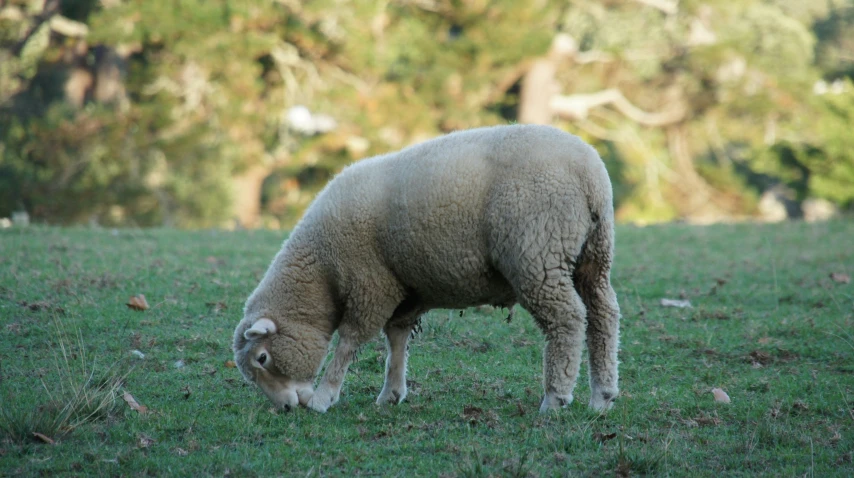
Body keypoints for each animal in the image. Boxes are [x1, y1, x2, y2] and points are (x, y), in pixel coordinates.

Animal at [234, 124, 620, 414]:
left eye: (263, 358)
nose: (286, 408)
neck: (322, 271)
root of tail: (590, 173)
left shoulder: (370, 284)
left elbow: (349, 342)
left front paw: (324, 396)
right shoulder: (405, 289)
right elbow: (397, 339)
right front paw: (391, 393)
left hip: (537, 253)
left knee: (567, 319)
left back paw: (555, 398)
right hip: (593, 254)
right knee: (603, 314)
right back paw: (602, 396)